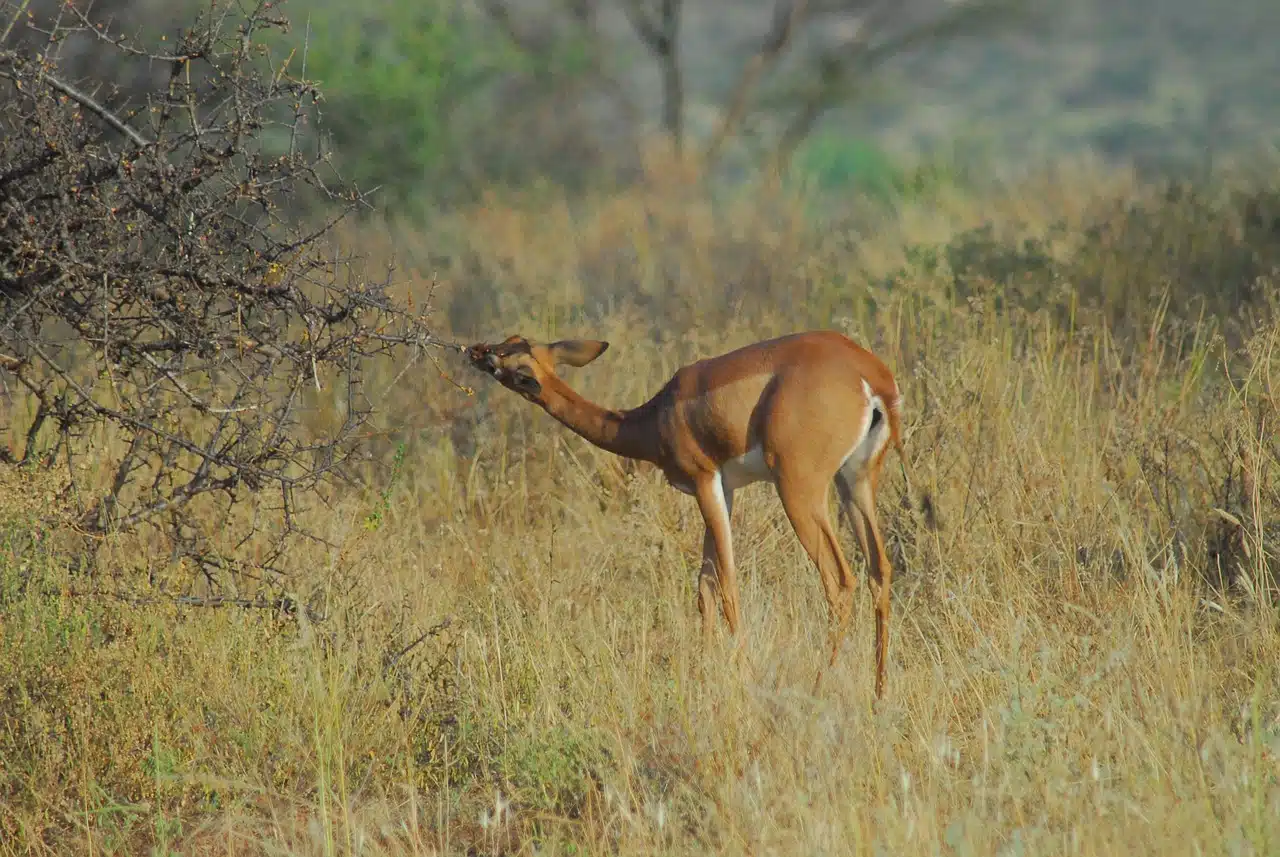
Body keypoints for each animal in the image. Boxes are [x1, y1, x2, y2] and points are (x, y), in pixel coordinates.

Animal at [465, 330, 926, 698]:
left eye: (512, 362)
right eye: (510, 340)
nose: (475, 350)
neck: (656, 415)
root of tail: (870, 375)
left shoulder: (705, 482)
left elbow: (727, 586)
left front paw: (741, 677)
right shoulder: (727, 489)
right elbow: (704, 588)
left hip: (799, 491)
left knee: (840, 579)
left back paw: (818, 687)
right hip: (855, 483)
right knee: (879, 570)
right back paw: (879, 693)